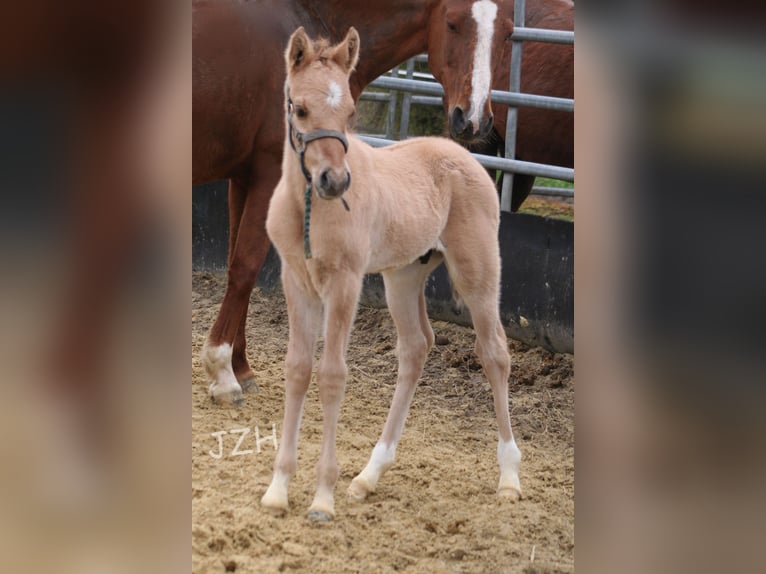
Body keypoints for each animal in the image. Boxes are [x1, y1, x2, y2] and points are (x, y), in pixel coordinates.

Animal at [262, 25, 520, 520]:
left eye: (349, 111)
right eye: (299, 108)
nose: (335, 182)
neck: (309, 209)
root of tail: (463, 155)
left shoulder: (344, 282)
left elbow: (332, 375)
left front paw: (322, 497)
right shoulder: (296, 281)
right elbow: (298, 369)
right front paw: (278, 489)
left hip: (478, 271)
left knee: (495, 352)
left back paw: (510, 477)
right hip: (402, 277)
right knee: (416, 348)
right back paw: (369, 475)